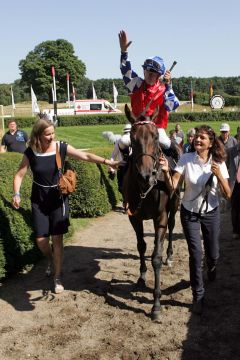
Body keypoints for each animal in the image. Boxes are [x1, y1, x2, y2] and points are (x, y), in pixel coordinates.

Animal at [123, 105, 181, 320]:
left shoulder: (160, 216)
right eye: (132, 138)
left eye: (155, 137)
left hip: (174, 203)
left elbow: (156, 257)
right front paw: (141, 275)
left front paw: (156, 304)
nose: (146, 175)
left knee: (171, 228)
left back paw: (169, 255)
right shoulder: (134, 216)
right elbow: (141, 246)